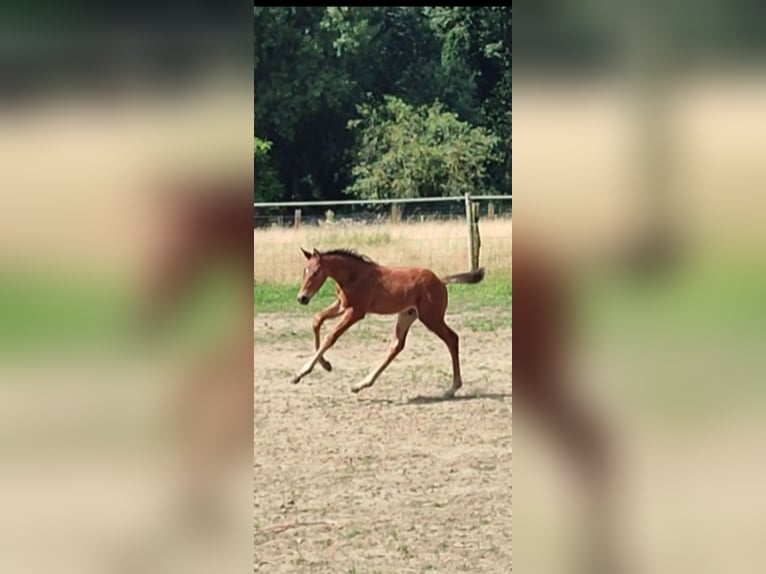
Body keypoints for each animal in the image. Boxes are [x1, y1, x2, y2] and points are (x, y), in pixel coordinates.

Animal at [292, 250, 484, 398]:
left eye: (316, 272)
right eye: (304, 271)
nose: (302, 298)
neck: (354, 276)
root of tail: (440, 281)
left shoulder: (355, 312)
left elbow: (331, 336)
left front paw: (301, 373)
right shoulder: (342, 305)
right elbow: (317, 319)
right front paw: (325, 365)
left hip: (431, 318)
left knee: (452, 339)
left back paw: (452, 388)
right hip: (407, 315)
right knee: (397, 345)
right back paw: (361, 384)